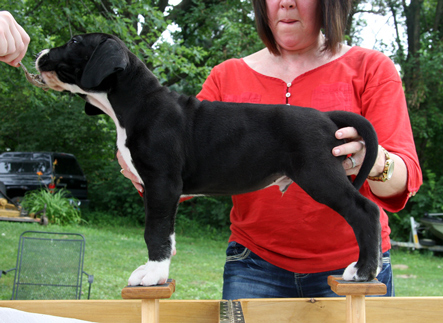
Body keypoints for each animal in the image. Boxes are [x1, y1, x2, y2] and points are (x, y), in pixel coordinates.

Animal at [36, 33, 386, 286]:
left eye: (74, 42)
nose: (40, 54)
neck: (138, 103)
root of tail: (326, 117)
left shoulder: (162, 182)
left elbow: (154, 230)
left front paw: (153, 272)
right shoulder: (158, 190)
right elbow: (166, 230)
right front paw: (159, 267)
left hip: (319, 174)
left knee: (365, 211)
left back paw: (363, 271)